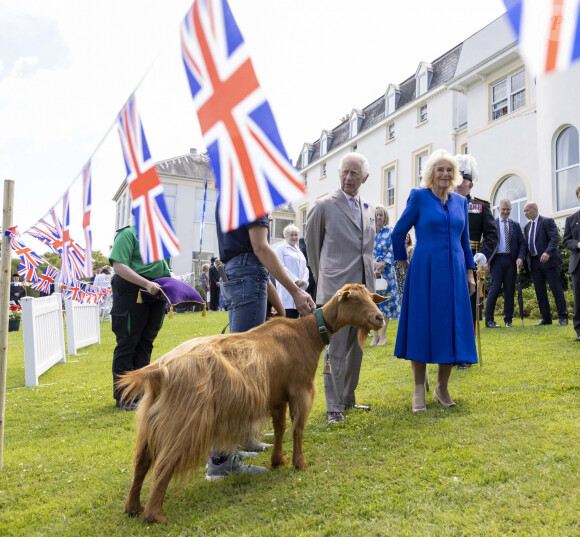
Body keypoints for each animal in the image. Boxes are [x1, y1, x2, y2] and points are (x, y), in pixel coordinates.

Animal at [117, 284, 386, 524]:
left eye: (371, 298)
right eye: (355, 299)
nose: (380, 318)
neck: (306, 333)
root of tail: (159, 369)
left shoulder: (277, 396)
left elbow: (280, 429)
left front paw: (277, 461)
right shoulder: (300, 390)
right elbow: (297, 429)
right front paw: (299, 464)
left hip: (153, 419)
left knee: (142, 460)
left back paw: (133, 507)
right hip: (186, 419)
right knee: (165, 462)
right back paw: (154, 514)